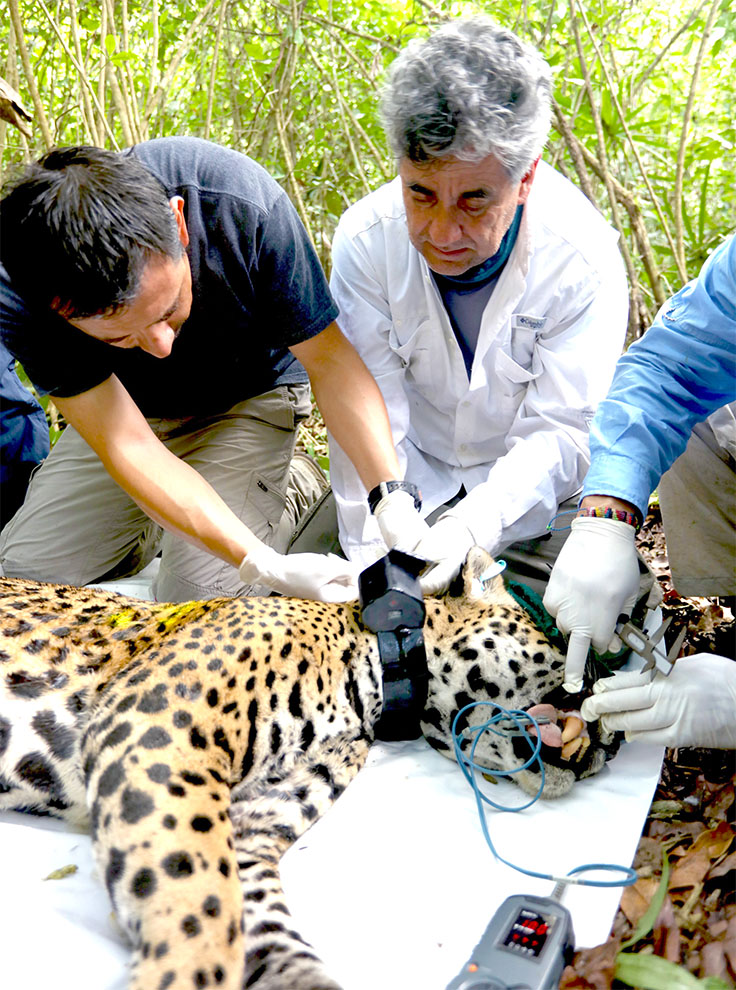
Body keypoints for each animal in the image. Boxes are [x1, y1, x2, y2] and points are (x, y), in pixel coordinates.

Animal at [0, 547, 616, 990]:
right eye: (567, 647)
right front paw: (184, 972)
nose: (616, 742)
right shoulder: (155, 727)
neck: (374, 681)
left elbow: (247, 912)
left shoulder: (251, 821)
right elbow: (195, 895)